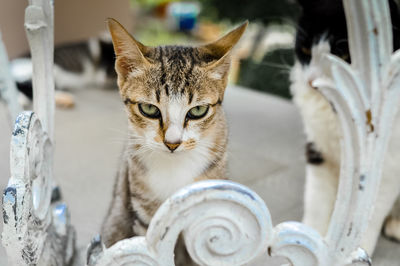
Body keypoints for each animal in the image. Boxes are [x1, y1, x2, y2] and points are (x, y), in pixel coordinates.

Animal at [290, 0, 400, 255]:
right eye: (306, 50)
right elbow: (317, 204)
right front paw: (309, 244)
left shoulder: (388, 165)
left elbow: (369, 214)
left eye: (343, 54)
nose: (312, 82)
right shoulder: (319, 153)